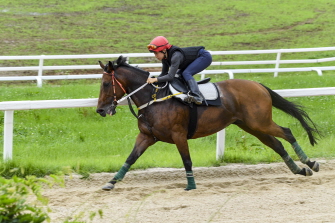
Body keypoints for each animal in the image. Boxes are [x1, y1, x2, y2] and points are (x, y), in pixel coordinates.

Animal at [96, 55, 322, 191]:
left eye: (106, 83)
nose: (100, 110)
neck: (155, 98)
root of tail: (258, 85)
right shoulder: (147, 136)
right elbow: (130, 158)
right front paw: (111, 182)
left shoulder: (178, 135)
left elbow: (187, 161)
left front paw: (191, 185)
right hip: (251, 125)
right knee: (277, 144)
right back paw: (300, 169)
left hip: (260, 122)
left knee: (287, 132)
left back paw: (310, 162)